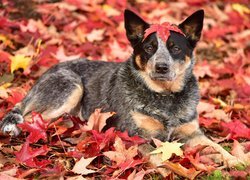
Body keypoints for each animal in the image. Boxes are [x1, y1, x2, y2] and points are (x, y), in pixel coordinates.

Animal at [0, 9, 242, 170]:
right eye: (149, 48)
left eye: (174, 48)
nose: (161, 66)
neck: (165, 97)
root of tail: (46, 72)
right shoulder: (137, 137)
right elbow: (160, 160)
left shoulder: (192, 133)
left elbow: (216, 146)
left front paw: (237, 160)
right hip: (71, 87)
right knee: (30, 118)